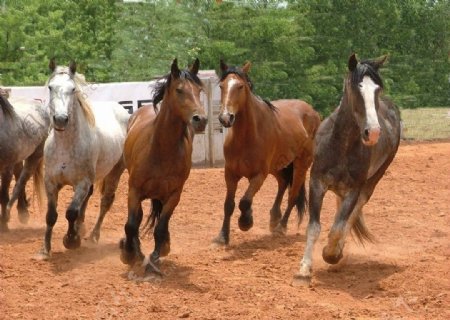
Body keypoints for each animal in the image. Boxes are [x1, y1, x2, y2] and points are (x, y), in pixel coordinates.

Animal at [0, 87, 49, 230]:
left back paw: (21, 214)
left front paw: (4, 224)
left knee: (22, 179)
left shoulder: (6, 168)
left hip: (35, 156)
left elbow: (3, 195)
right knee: (18, 175)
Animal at [36, 60, 129, 260]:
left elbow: (71, 212)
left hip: (116, 170)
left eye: (72, 89)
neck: (65, 147)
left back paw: (93, 236)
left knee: (105, 201)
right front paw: (45, 250)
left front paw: (71, 240)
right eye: (50, 87)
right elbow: (51, 215)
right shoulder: (51, 182)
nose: (60, 119)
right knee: (87, 201)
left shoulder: (82, 183)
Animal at [120, 58, 208, 276]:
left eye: (199, 90)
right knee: (137, 219)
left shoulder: (174, 195)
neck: (160, 150)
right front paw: (130, 254)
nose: (200, 120)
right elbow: (131, 224)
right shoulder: (134, 190)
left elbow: (160, 226)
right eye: (179, 90)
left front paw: (154, 258)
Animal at [214, 60, 320, 245]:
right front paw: (222, 237)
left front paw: (246, 221)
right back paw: (274, 217)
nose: (226, 118)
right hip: (277, 166)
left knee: (292, 195)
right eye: (222, 86)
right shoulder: (230, 173)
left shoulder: (259, 175)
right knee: (283, 183)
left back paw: (281, 227)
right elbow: (229, 205)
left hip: (301, 164)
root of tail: (312, 111)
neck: (247, 136)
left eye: (240, 86)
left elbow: (244, 201)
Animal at [296, 53, 400, 284]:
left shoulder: (354, 188)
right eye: (356, 88)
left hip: (372, 181)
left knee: (353, 212)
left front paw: (331, 253)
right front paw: (304, 269)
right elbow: (314, 227)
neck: (341, 145)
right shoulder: (317, 182)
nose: (373, 133)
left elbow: (339, 226)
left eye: (377, 89)